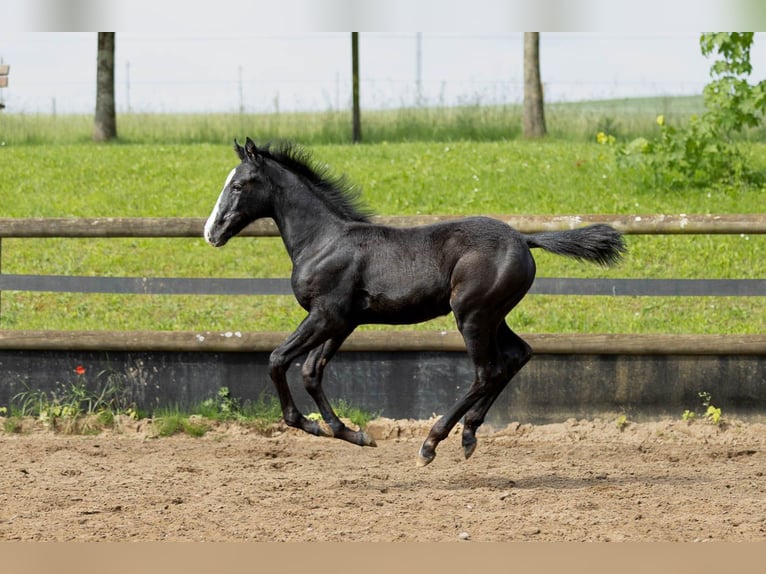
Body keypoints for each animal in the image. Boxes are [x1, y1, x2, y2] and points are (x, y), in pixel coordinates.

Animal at [206, 140, 632, 468]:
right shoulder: (342, 321)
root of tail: (524, 239)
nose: (211, 231)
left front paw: (307, 425)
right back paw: (468, 435)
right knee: (518, 355)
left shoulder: (326, 315)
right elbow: (312, 372)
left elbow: (278, 359)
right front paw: (353, 434)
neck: (323, 240)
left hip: (472, 315)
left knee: (488, 371)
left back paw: (432, 443)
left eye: (239, 185)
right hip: (493, 315)